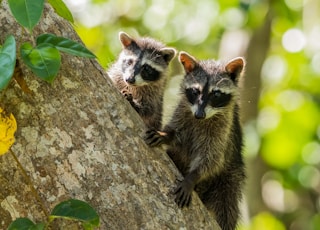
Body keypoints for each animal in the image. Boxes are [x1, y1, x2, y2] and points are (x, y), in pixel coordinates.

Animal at [146, 51, 248, 229]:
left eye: (216, 94)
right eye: (195, 91)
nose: (199, 115)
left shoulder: (223, 130)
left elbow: (212, 158)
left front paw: (193, 176)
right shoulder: (183, 111)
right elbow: (176, 132)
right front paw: (166, 135)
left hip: (230, 178)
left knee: (226, 205)